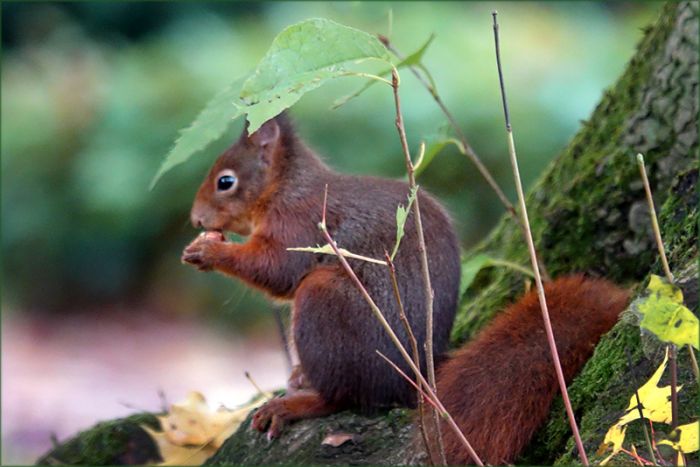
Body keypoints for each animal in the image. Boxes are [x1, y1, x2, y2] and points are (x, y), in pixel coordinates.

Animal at [182, 114, 630, 464]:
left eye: (225, 181)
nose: (195, 219)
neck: (285, 188)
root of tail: (418, 376)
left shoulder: (301, 224)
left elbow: (277, 270)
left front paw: (209, 251)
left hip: (324, 302)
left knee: (345, 395)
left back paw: (296, 403)